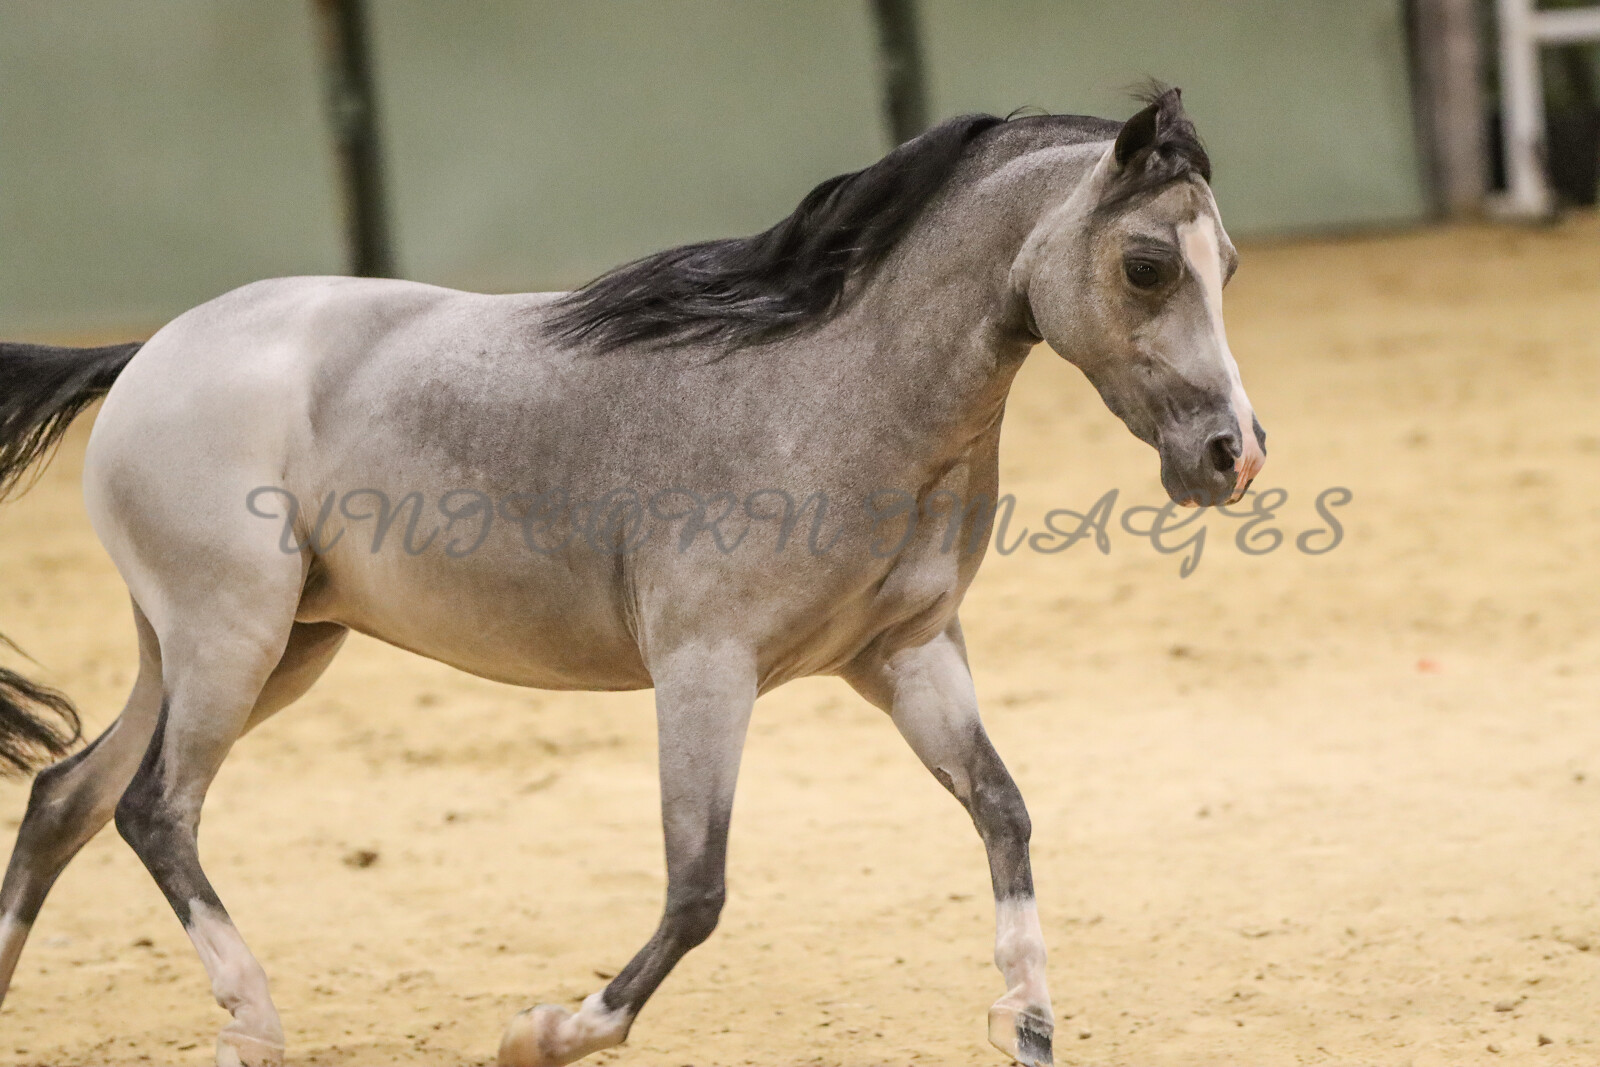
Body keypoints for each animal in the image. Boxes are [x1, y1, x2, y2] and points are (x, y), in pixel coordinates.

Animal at [0, 87, 1262, 1067]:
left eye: (1230, 266)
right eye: (1147, 265)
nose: (1231, 456)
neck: (835, 386)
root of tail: (153, 349)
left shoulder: (905, 657)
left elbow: (1003, 811)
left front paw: (1027, 1020)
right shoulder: (706, 669)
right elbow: (697, 886)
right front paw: (550, 1028)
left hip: (247, 648)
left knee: (69, 794)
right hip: (233, 639)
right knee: (155, 809)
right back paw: (253, 1022)